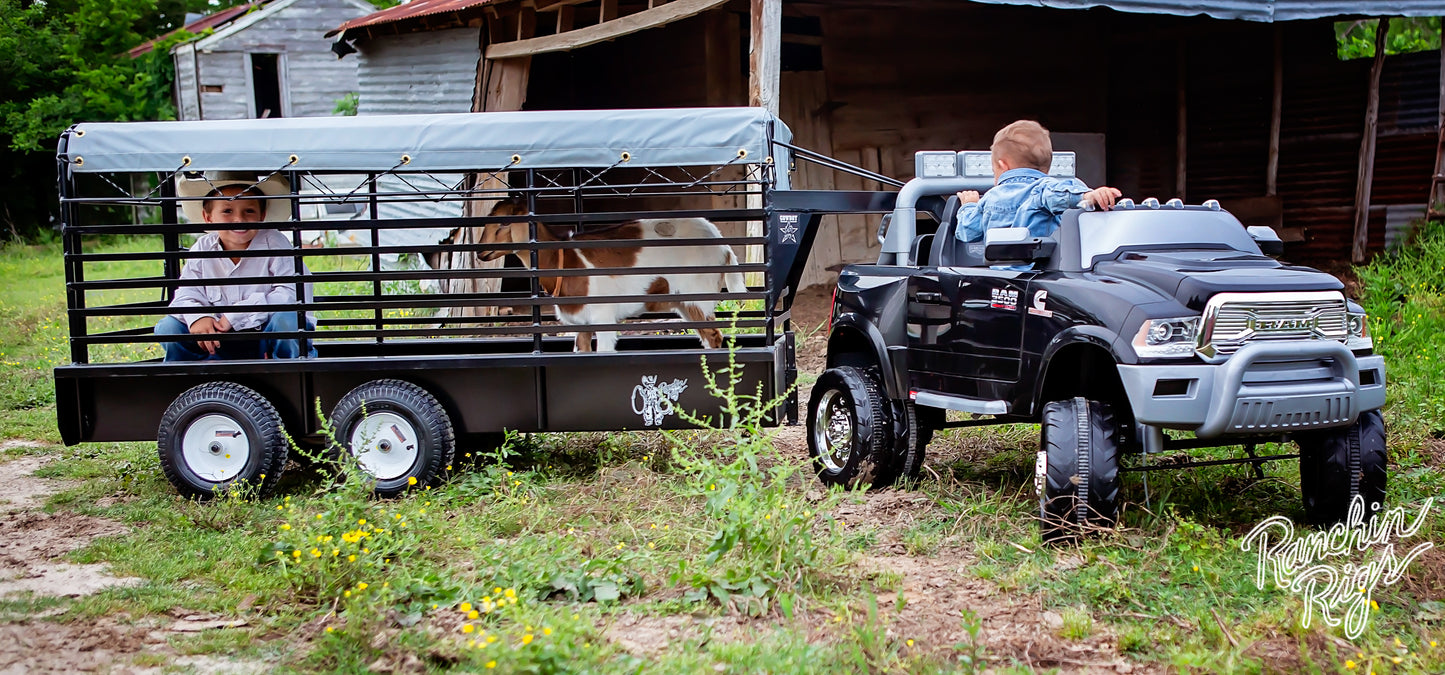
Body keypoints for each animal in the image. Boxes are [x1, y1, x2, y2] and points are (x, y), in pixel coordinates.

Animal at [482, 200, 745, 351]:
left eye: (504, 222)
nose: (482, 252)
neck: (565, 260)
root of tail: (724, 247)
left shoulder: (602, 316)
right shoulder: (580, 323)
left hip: (697, 294)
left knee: (714, 336)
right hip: (684, 301)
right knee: (709, 337)